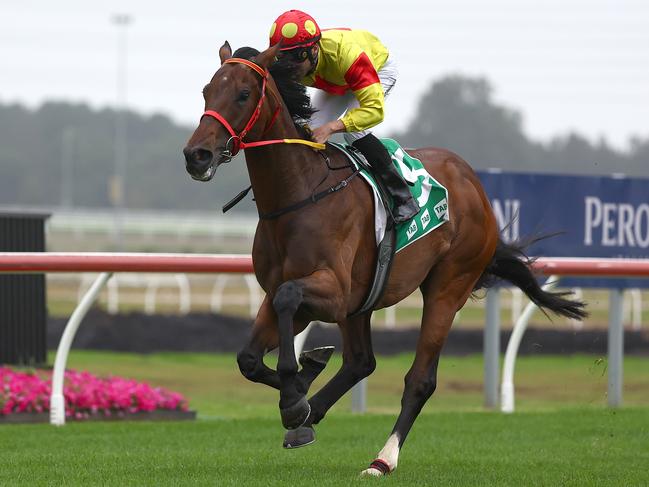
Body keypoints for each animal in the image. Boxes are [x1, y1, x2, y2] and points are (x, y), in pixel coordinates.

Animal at [182, 42, 588, 476]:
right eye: (207, 91)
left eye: (243, 94)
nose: (196, 155)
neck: (299, 194)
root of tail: (474, 184)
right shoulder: (289, 295)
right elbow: (249, 359)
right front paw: (301, 394)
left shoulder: (332, 293)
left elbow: (289, 299)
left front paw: (294, 396)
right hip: (363, 302)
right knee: (361, 362)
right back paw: (312, 411)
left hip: (448, 286)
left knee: (420, 379)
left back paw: (382, 458)